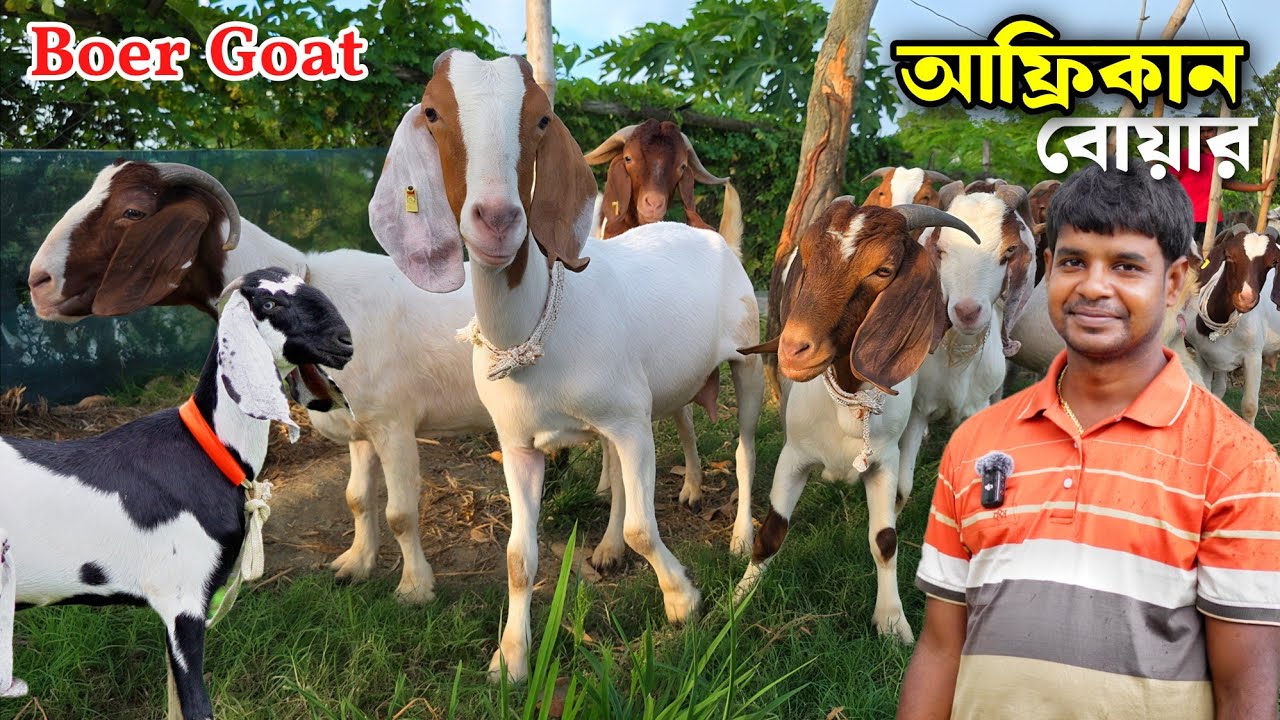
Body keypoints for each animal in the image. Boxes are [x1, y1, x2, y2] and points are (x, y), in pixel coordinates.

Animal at [28, 161, 491, 605]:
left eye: (133, 212)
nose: (38, 282)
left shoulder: (393, 424)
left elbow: (400, 513)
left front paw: (415, 590)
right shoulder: (361, 428)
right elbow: (357, 498)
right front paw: (355, 565)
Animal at [582, 119, 743, 513]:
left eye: (682, 166)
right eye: (628, 158)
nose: (653, 205)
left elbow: (681, 415)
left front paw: (691, 486)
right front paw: (608, 483)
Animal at [735, 200, 981, 642]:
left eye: (883, 270)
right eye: (809, 255)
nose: (793, 349)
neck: (849, 405)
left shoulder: (883, 462)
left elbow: (885, 540)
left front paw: (892, 622)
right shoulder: (793, 456)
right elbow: (772, 531)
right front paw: (737, 599)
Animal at [1182, 225, 1280, 426]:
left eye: (1273, 262)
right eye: (1228, 255)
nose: (1246, 298)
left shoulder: (1253, 356)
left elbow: (1249, 407)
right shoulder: (1205, 355)